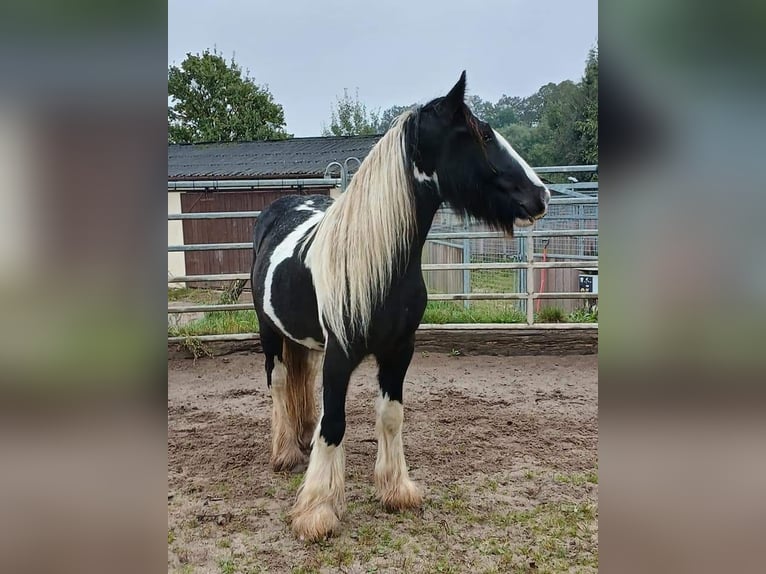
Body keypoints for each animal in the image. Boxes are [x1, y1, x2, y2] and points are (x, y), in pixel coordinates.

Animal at [249, 73, 548, 544]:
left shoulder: (399, 350)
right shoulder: (340, 356)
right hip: (269, 333)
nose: (541, 195)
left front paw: (396, 490)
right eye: (483, 134)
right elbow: (334, 425)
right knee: (279, 383)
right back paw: (284, 454)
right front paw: (317, 511)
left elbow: (390, 416)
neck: (378, 262)